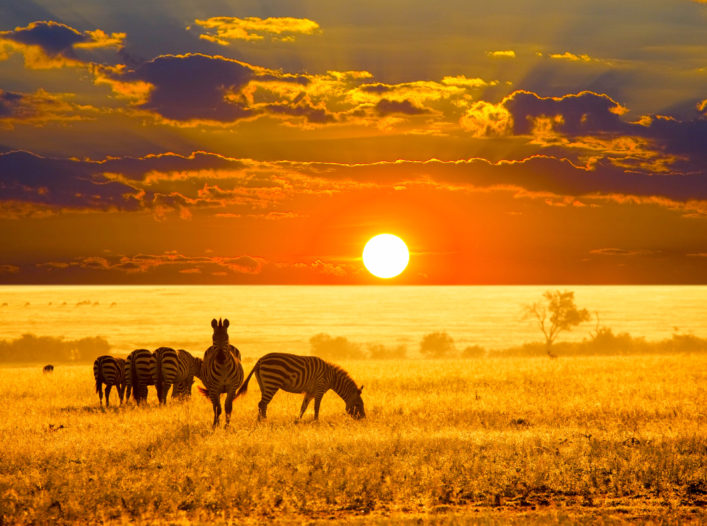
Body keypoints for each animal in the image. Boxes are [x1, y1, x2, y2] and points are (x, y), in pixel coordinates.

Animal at [235, 353, 365, 421]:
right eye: (358, 404)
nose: (364, 418)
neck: (332, 377)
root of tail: (260, 360)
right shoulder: (319, 388)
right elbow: (316, 407)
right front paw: (316, 422)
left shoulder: (310, 392)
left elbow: (304, 407)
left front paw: (297, 421)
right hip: (272, 382)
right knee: (262, 403)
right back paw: (262, 422)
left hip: (264, 384)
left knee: (263, 404)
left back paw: (262, 421)